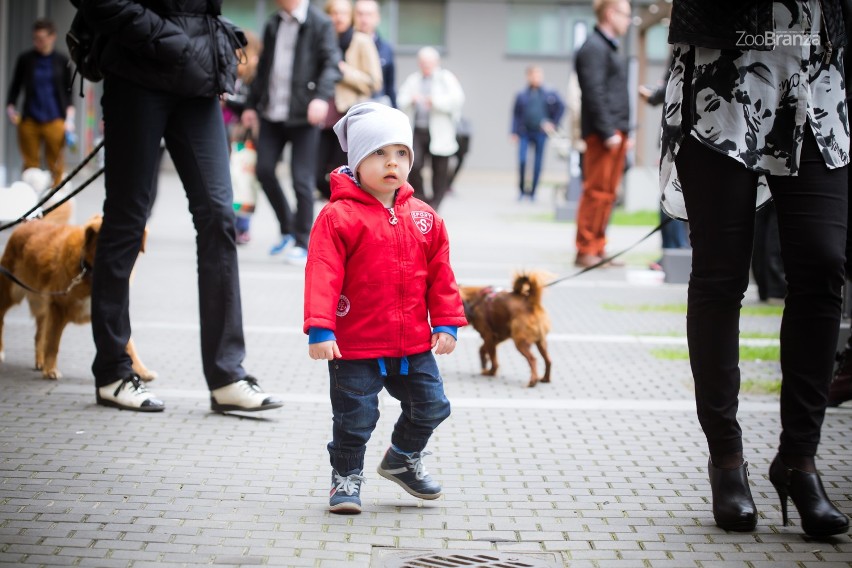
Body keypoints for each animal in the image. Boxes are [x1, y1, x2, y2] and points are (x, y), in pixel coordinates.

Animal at [0, 215, 156, 380]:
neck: (89, 271)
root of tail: (29, 221)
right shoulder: (57, 308)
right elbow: (53, 343)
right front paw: (50, 369)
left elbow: (128, 344)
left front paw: (142, 371)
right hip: (11, 292)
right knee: (2, 318)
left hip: (41, 304)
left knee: (39, 335)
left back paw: (40, 361)